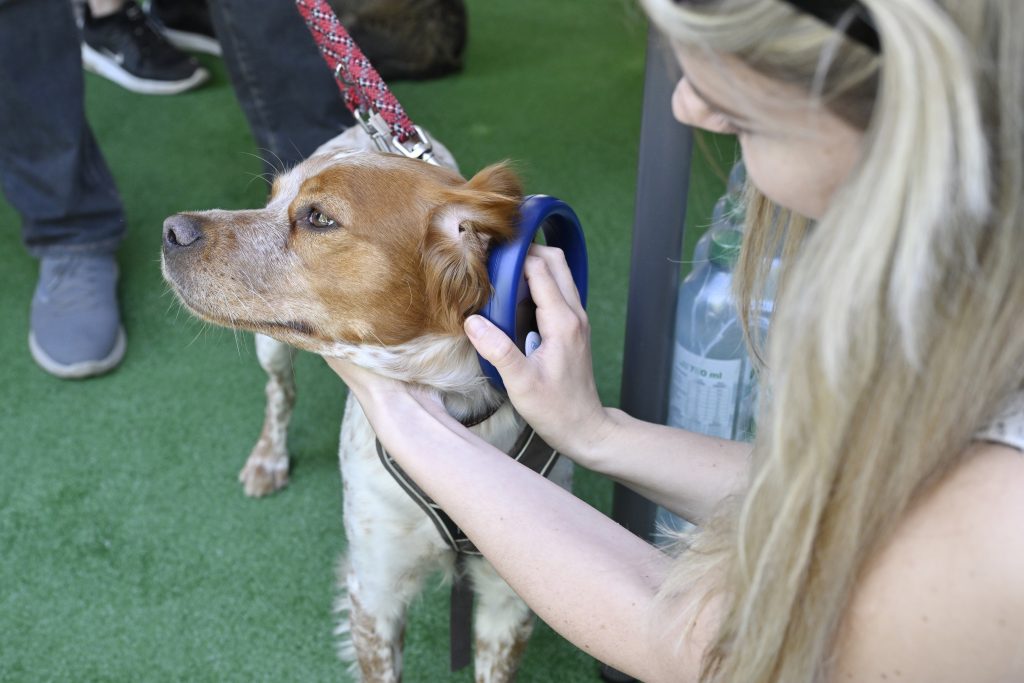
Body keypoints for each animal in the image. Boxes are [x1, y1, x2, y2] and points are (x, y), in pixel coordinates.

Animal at [163, 125, 573, 679]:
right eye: (270, 202)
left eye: (318, 218)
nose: (172, 229)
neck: (458, 424)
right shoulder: (373, 588)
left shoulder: (507, 604)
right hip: (270, 347)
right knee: (280, 393)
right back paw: (269, 459)